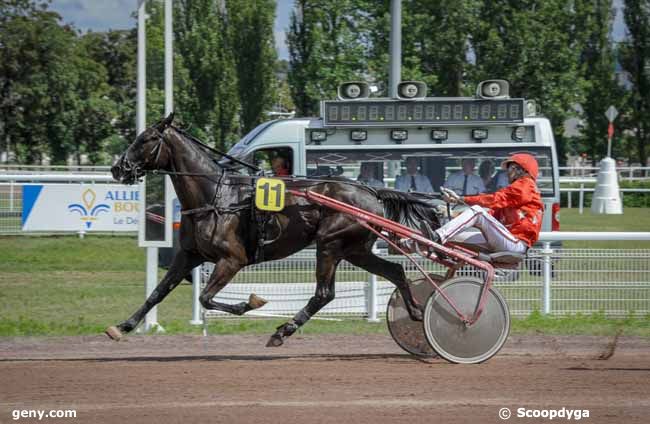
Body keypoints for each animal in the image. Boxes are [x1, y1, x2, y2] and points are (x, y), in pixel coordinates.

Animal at [109, 114, 438, 346]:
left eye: (146, 138)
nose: (117, 168)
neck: (215, 197)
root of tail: (372, 192)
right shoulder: (188, 255)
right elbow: (158, 292)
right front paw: (123, 326)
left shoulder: (232, 260)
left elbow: (205, 298)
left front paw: (250, 302)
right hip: (354, 249)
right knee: (395, 271)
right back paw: (416, 312)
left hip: (330, 244)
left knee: (324, 293)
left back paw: (283, 331)